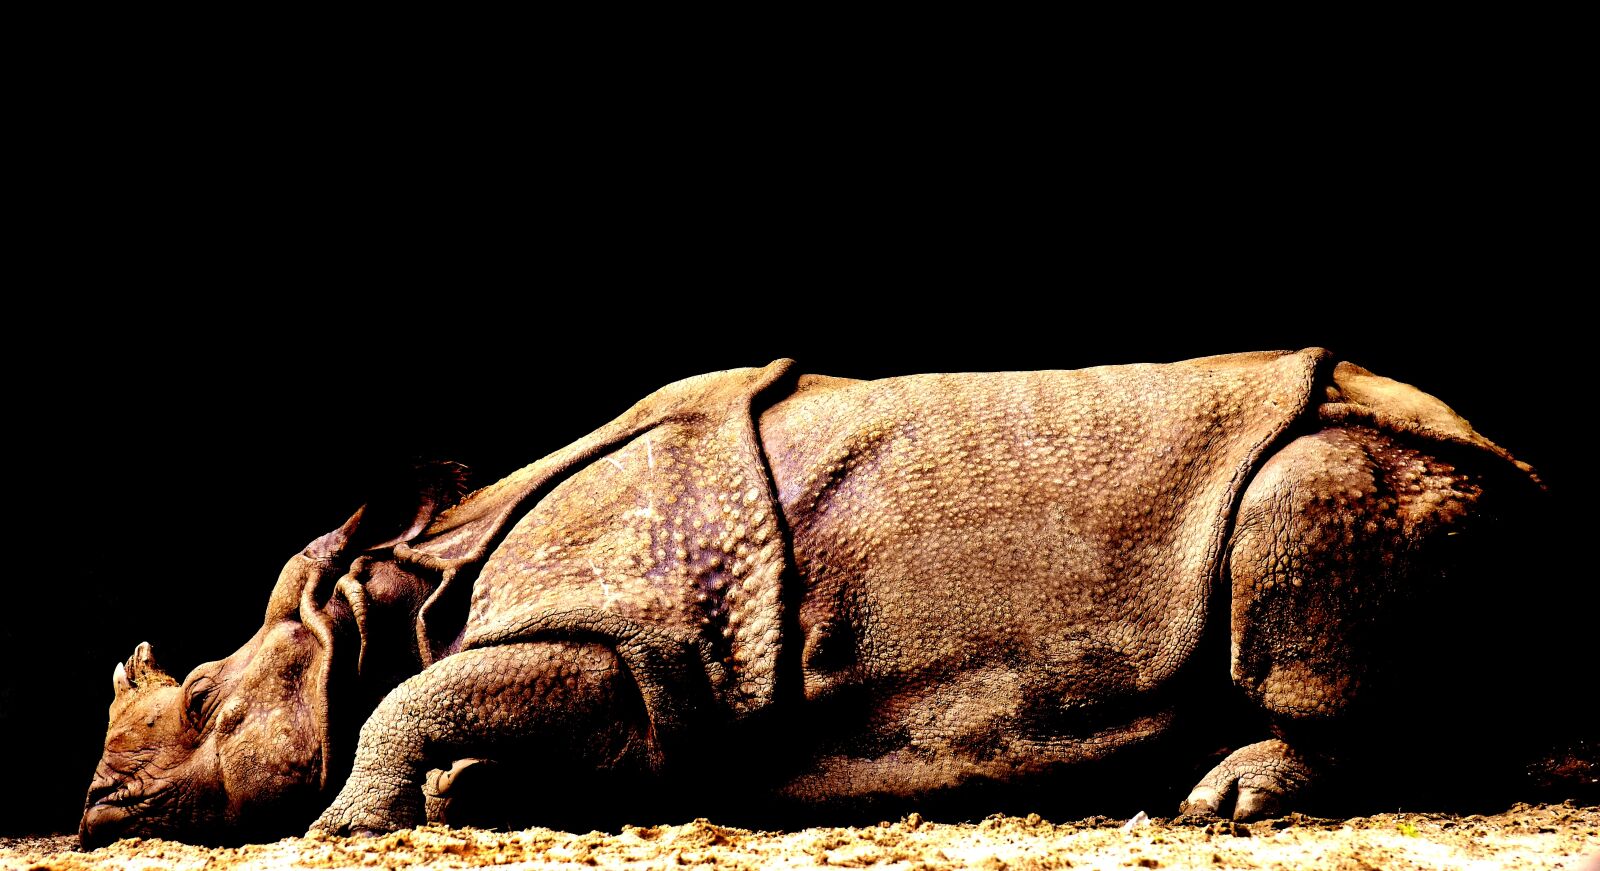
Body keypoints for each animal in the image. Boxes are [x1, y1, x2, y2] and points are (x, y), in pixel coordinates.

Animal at [80, 349, 1553, 847]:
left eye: (199, 693)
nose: (95, 808)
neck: (409, 582)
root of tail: (1513, 456)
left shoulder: (639, 635)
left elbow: (425, 698)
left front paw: (346, 823)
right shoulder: (658, 671)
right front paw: (463, 801)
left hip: (1372, 463)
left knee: (1306, 519)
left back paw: (1225, 800)